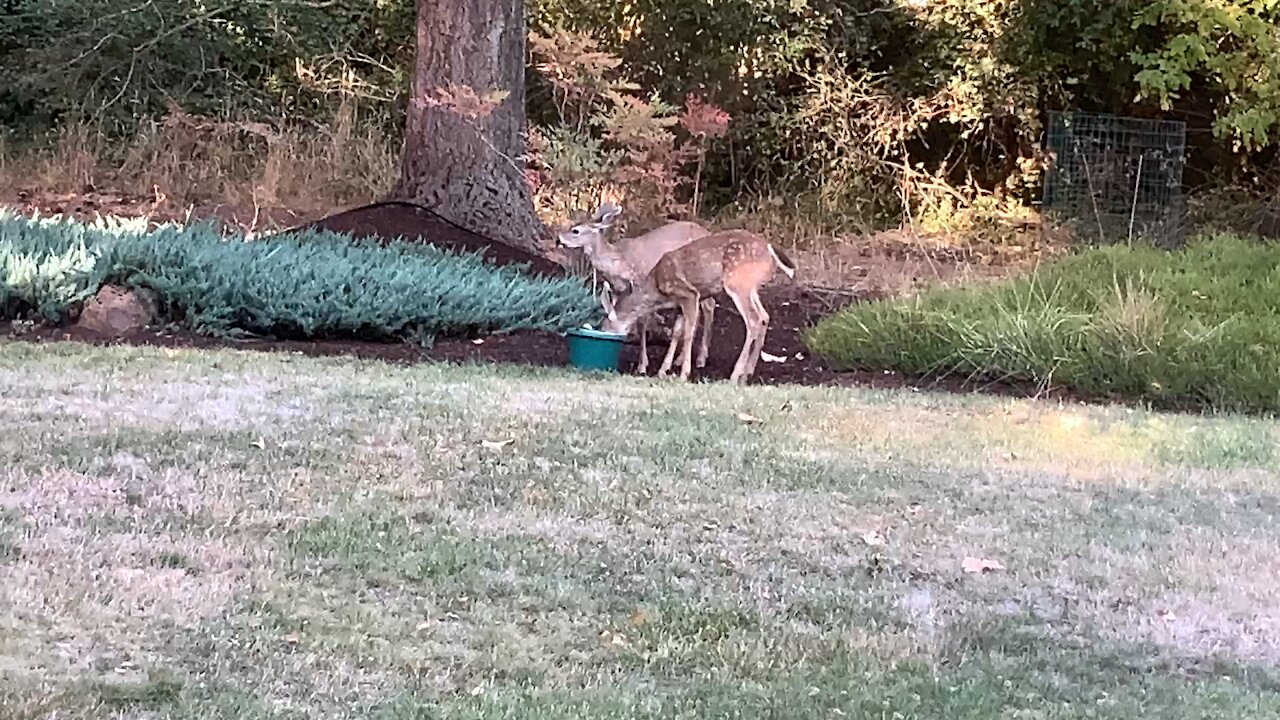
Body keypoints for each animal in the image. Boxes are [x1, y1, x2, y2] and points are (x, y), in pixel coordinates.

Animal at [558, 199, 716, 368]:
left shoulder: (641, 281)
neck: (619, 261)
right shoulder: (617, 289)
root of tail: (708, 233)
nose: (559, 238)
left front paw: (642, 364)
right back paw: (680, 359)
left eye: (575, 231)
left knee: (708, 306)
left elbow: (642, 323)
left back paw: (700, 359)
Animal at [596, 230, 788, 386]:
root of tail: (771, 253)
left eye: (605, 325)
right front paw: (662, 371)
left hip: (737, 282)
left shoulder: (690, 294)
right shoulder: (680, 304)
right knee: (764, 317)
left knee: (753, 321)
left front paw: (683, 373)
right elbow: (676, 333)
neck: (658, 290)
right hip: (751, 287)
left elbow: (688, 333)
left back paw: (735, 375)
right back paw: (746, 374)